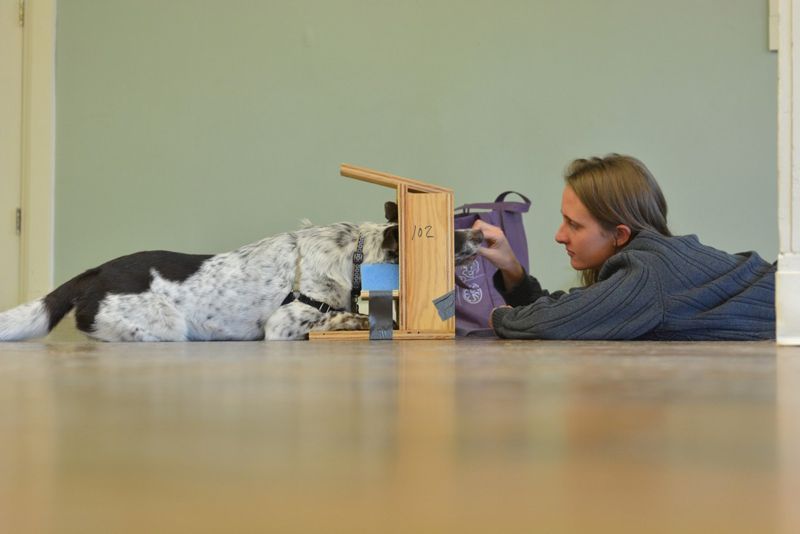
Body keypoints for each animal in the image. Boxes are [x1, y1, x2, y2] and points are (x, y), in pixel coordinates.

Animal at [0, 205, 482, 344]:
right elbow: (344, 316)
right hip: (166, 325)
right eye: (442, 234)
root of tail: (95, 271)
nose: (478, 231)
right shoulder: (285, 326)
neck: (353, 258)